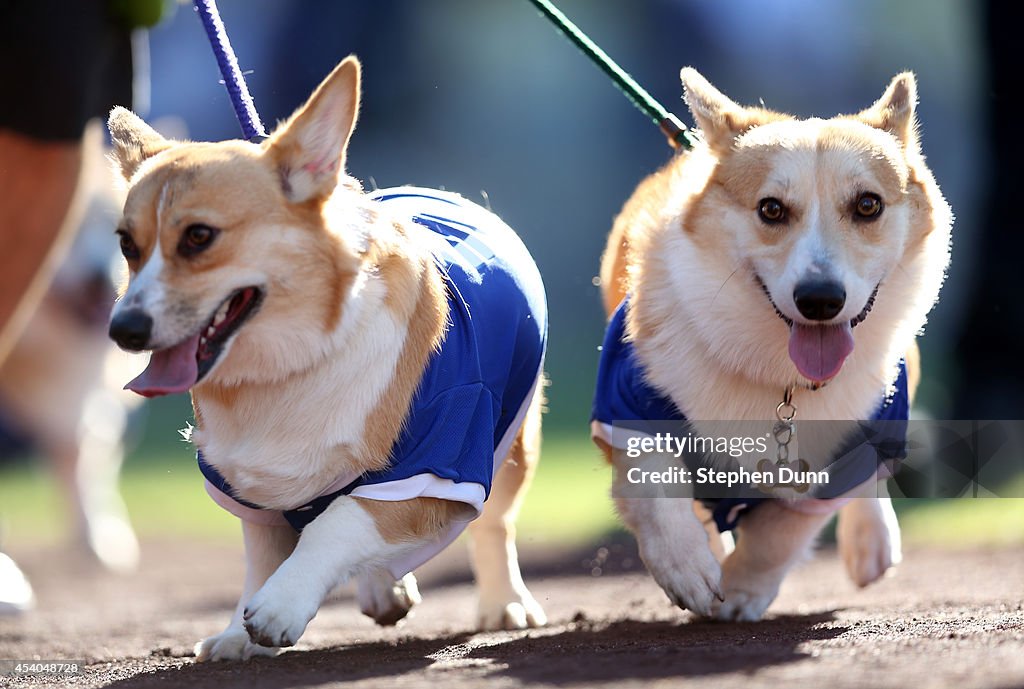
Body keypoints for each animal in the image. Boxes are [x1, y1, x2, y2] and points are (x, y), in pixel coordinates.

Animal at [107, 56, 548, 659]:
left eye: (199, 236)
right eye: (128, 245)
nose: (122, 330)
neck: (292, 366)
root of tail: (443, 193)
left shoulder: (434, 470)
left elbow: (337, 522)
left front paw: (278, 607)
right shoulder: (250, 493)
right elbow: (263, 559)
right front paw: (237, 634)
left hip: (513, 446)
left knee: (495, 523)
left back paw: (504, 603)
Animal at [593, 67, 950, 622]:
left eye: (868, 204)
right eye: (771, 209)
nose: (820, 300)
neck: (782, 380)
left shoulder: (837, 461)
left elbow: (780, 533)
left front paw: (740, 590)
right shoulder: (625, 403)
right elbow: (655, 484)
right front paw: (690, 569)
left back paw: (872, 543)